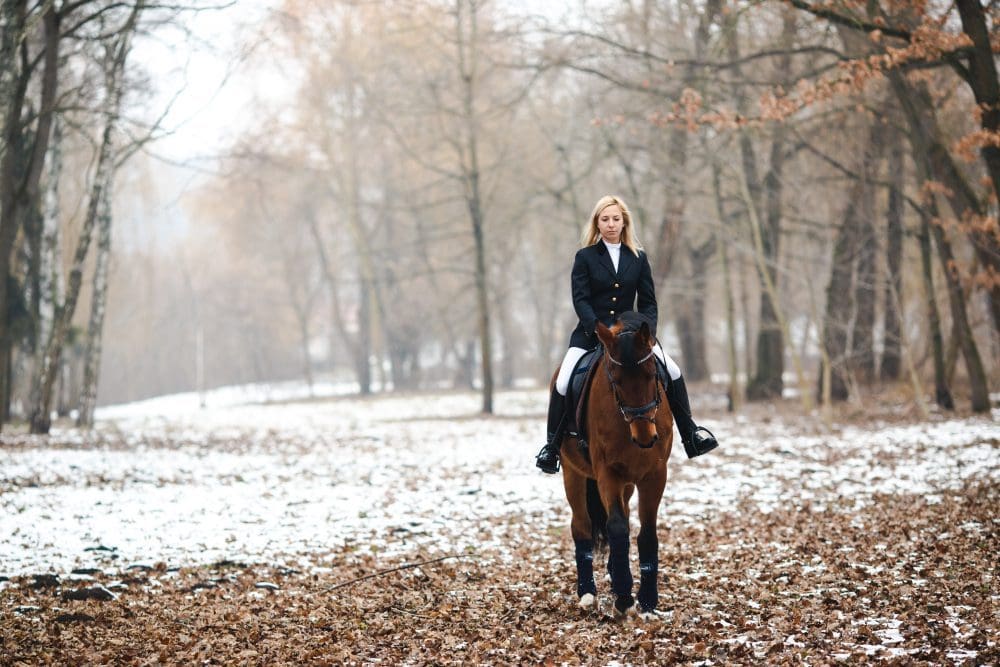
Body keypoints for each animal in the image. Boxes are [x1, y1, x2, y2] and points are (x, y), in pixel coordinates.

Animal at [557, 318, 672, 616]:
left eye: (651, 374)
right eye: (616, 381)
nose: (645, 437)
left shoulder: (655, 475)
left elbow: (646, 532)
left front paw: (647, 599)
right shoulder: (607, 474)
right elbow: (618, 527)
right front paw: (623, 598)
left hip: (629, 482)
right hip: (573, 474)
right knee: (582, 526)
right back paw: (588, 593)